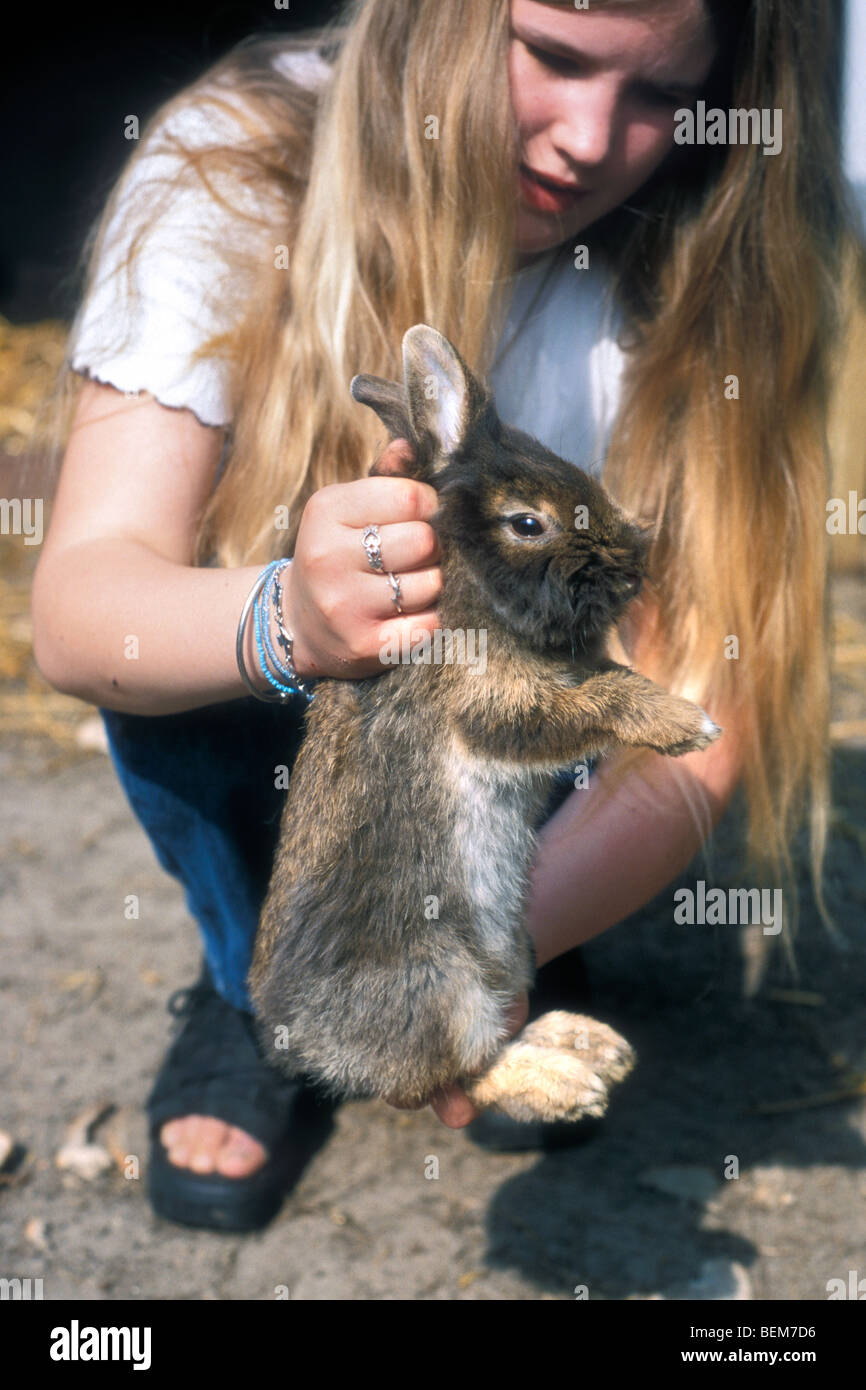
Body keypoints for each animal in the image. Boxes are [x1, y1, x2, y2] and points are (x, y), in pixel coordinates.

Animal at [248, 324, 722, 1123]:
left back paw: (587, 1044)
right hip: (447, 986)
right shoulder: (490, 707)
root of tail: (306, 1042)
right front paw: (685, 724)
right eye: (528, 523)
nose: (633, 570)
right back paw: (568, 1080)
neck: (470, 590)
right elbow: (593, 702)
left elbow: (607, 678)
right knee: (464, 1071)